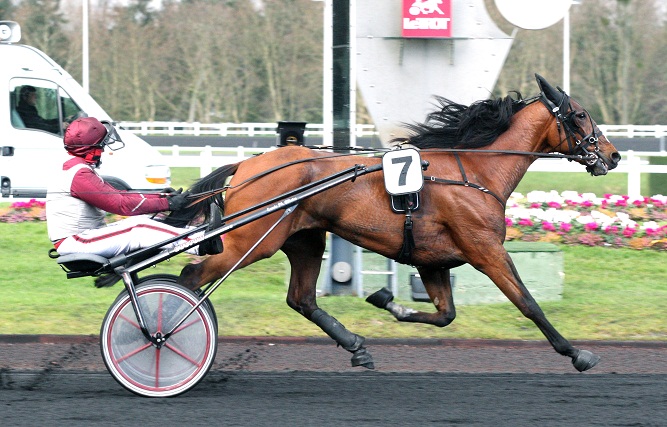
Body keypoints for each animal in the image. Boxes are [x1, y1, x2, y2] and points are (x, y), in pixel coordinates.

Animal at [172, 75, 620, 372]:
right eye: (581, 115)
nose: (613, 155)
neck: (475, 172)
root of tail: (247, 166)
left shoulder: (434, 260)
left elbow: (444, 314)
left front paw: (388, 301)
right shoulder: (486, 250)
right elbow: (528, 303)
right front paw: (577, 353)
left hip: (304, 239)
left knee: (301, 299)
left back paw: (356, 345)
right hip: (251, 239)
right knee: (191, 276)